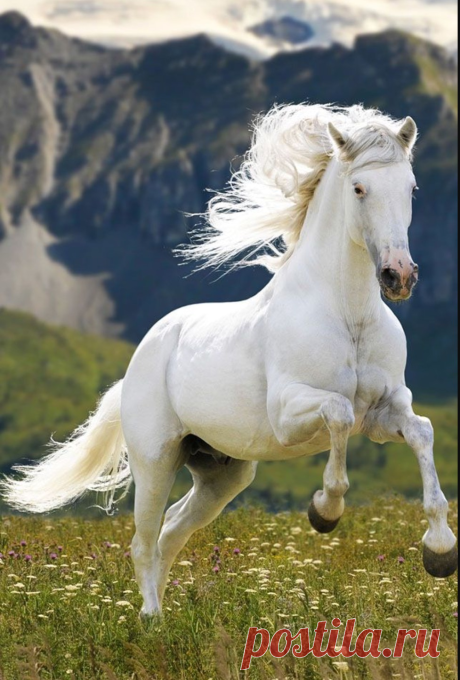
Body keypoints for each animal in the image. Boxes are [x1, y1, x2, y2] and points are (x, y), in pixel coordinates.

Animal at [2, 104, 457, 617]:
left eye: (411, 187)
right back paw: (150, 619)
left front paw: (440, 552)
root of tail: (139, 360)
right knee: (143, 541)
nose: (399, 276)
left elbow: (422, 431)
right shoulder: (290, 413)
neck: (348, 316)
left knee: (171, 531)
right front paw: (325, 511)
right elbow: (338, 413)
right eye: (359, 187)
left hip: (222, 472)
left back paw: (163, 618)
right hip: (155, 461)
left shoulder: (383, 413)